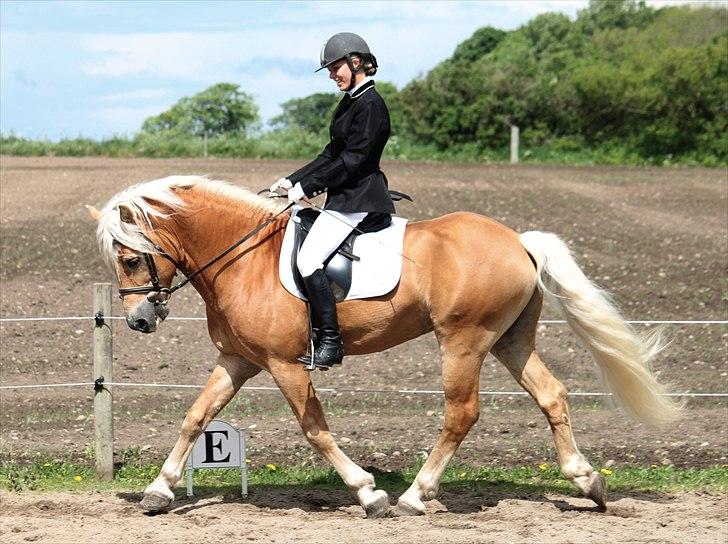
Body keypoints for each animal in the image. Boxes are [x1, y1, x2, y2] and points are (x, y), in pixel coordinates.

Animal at [86, 174, 684, 520]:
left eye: (132, 258)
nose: (139, 320)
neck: (242, 256)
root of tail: (518, 241)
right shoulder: (238, 360)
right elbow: (195, 417)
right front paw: (159, 491)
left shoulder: (284, 364)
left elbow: (315, 429)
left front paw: (368, 493)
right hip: (509, 341)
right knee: (551, 395)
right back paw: (588, 481)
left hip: (463, 341)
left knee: (461, 412)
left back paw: (416, 495)